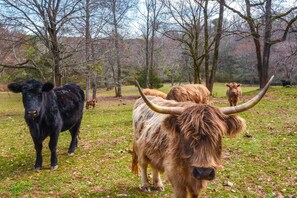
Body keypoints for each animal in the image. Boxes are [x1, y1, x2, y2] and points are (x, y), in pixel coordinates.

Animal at [132, 76, 272, 197]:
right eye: (186, 134)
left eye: (219, 135)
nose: (203, 172)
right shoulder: (176, 178)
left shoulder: (198, 181)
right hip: (141, 147)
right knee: (143, 164)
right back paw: (146, 185)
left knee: (154, 164)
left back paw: (158, 185)